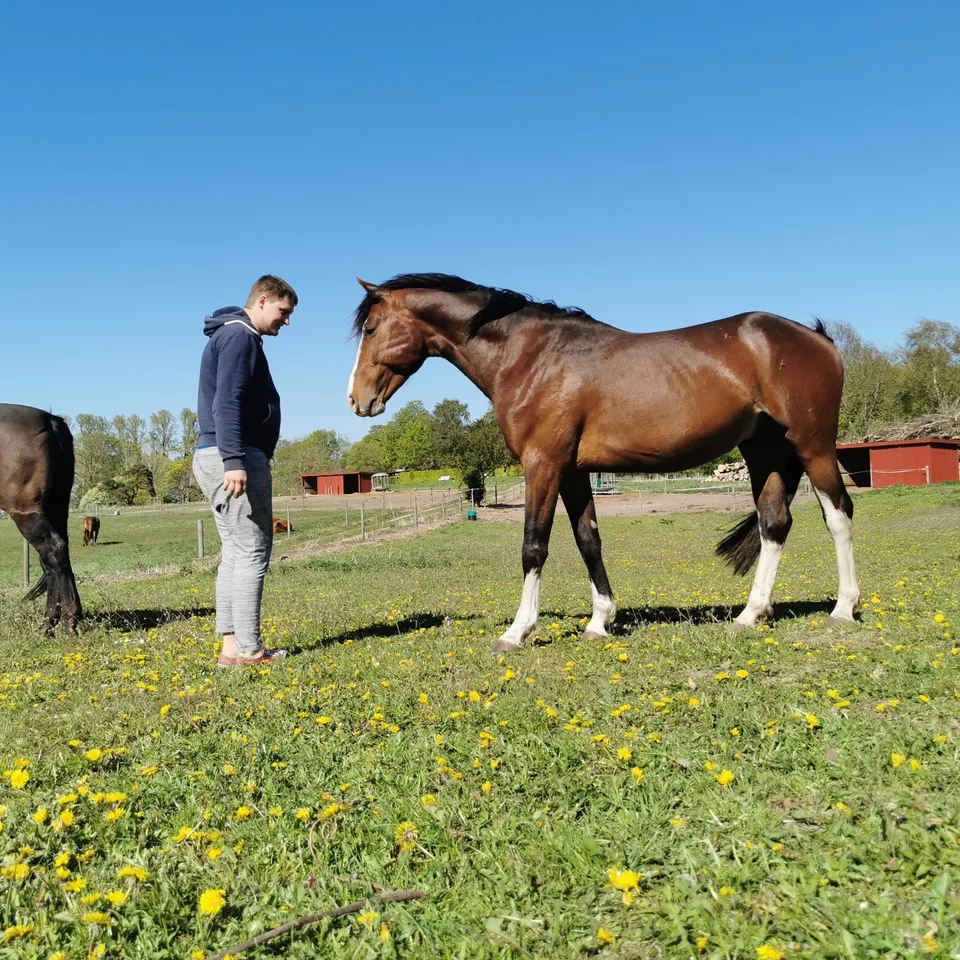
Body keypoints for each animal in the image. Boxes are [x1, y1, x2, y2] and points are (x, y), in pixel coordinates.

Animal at [0, 404, 82, 632]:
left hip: (26, 513)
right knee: (52, 561)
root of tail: (47, 418)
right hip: (54, 509)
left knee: (54, 551)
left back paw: (65, 622)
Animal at [346, 274, 864, 656]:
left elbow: (534, 547)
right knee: (774, 523)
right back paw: (750, 616)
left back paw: (843, 609)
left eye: (370, 329)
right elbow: (588, 541)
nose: (357, 400)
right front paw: (601, 620)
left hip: (813, 446)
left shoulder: (543, 465)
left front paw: (517, 631)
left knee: (839, 516)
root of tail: (816, 337)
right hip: (764, 453)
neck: (531, 358)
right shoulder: (574, 471)